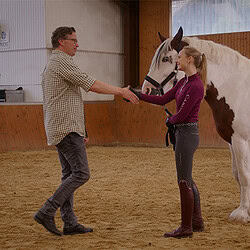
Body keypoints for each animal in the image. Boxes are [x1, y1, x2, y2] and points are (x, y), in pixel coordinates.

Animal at [142, 26, 250, 223]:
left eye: (166, 58)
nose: (146, 90)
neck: (238, 89)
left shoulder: (241, 140)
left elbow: (245, 175)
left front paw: (242, 212)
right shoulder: (232, 141)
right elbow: (237, 174)